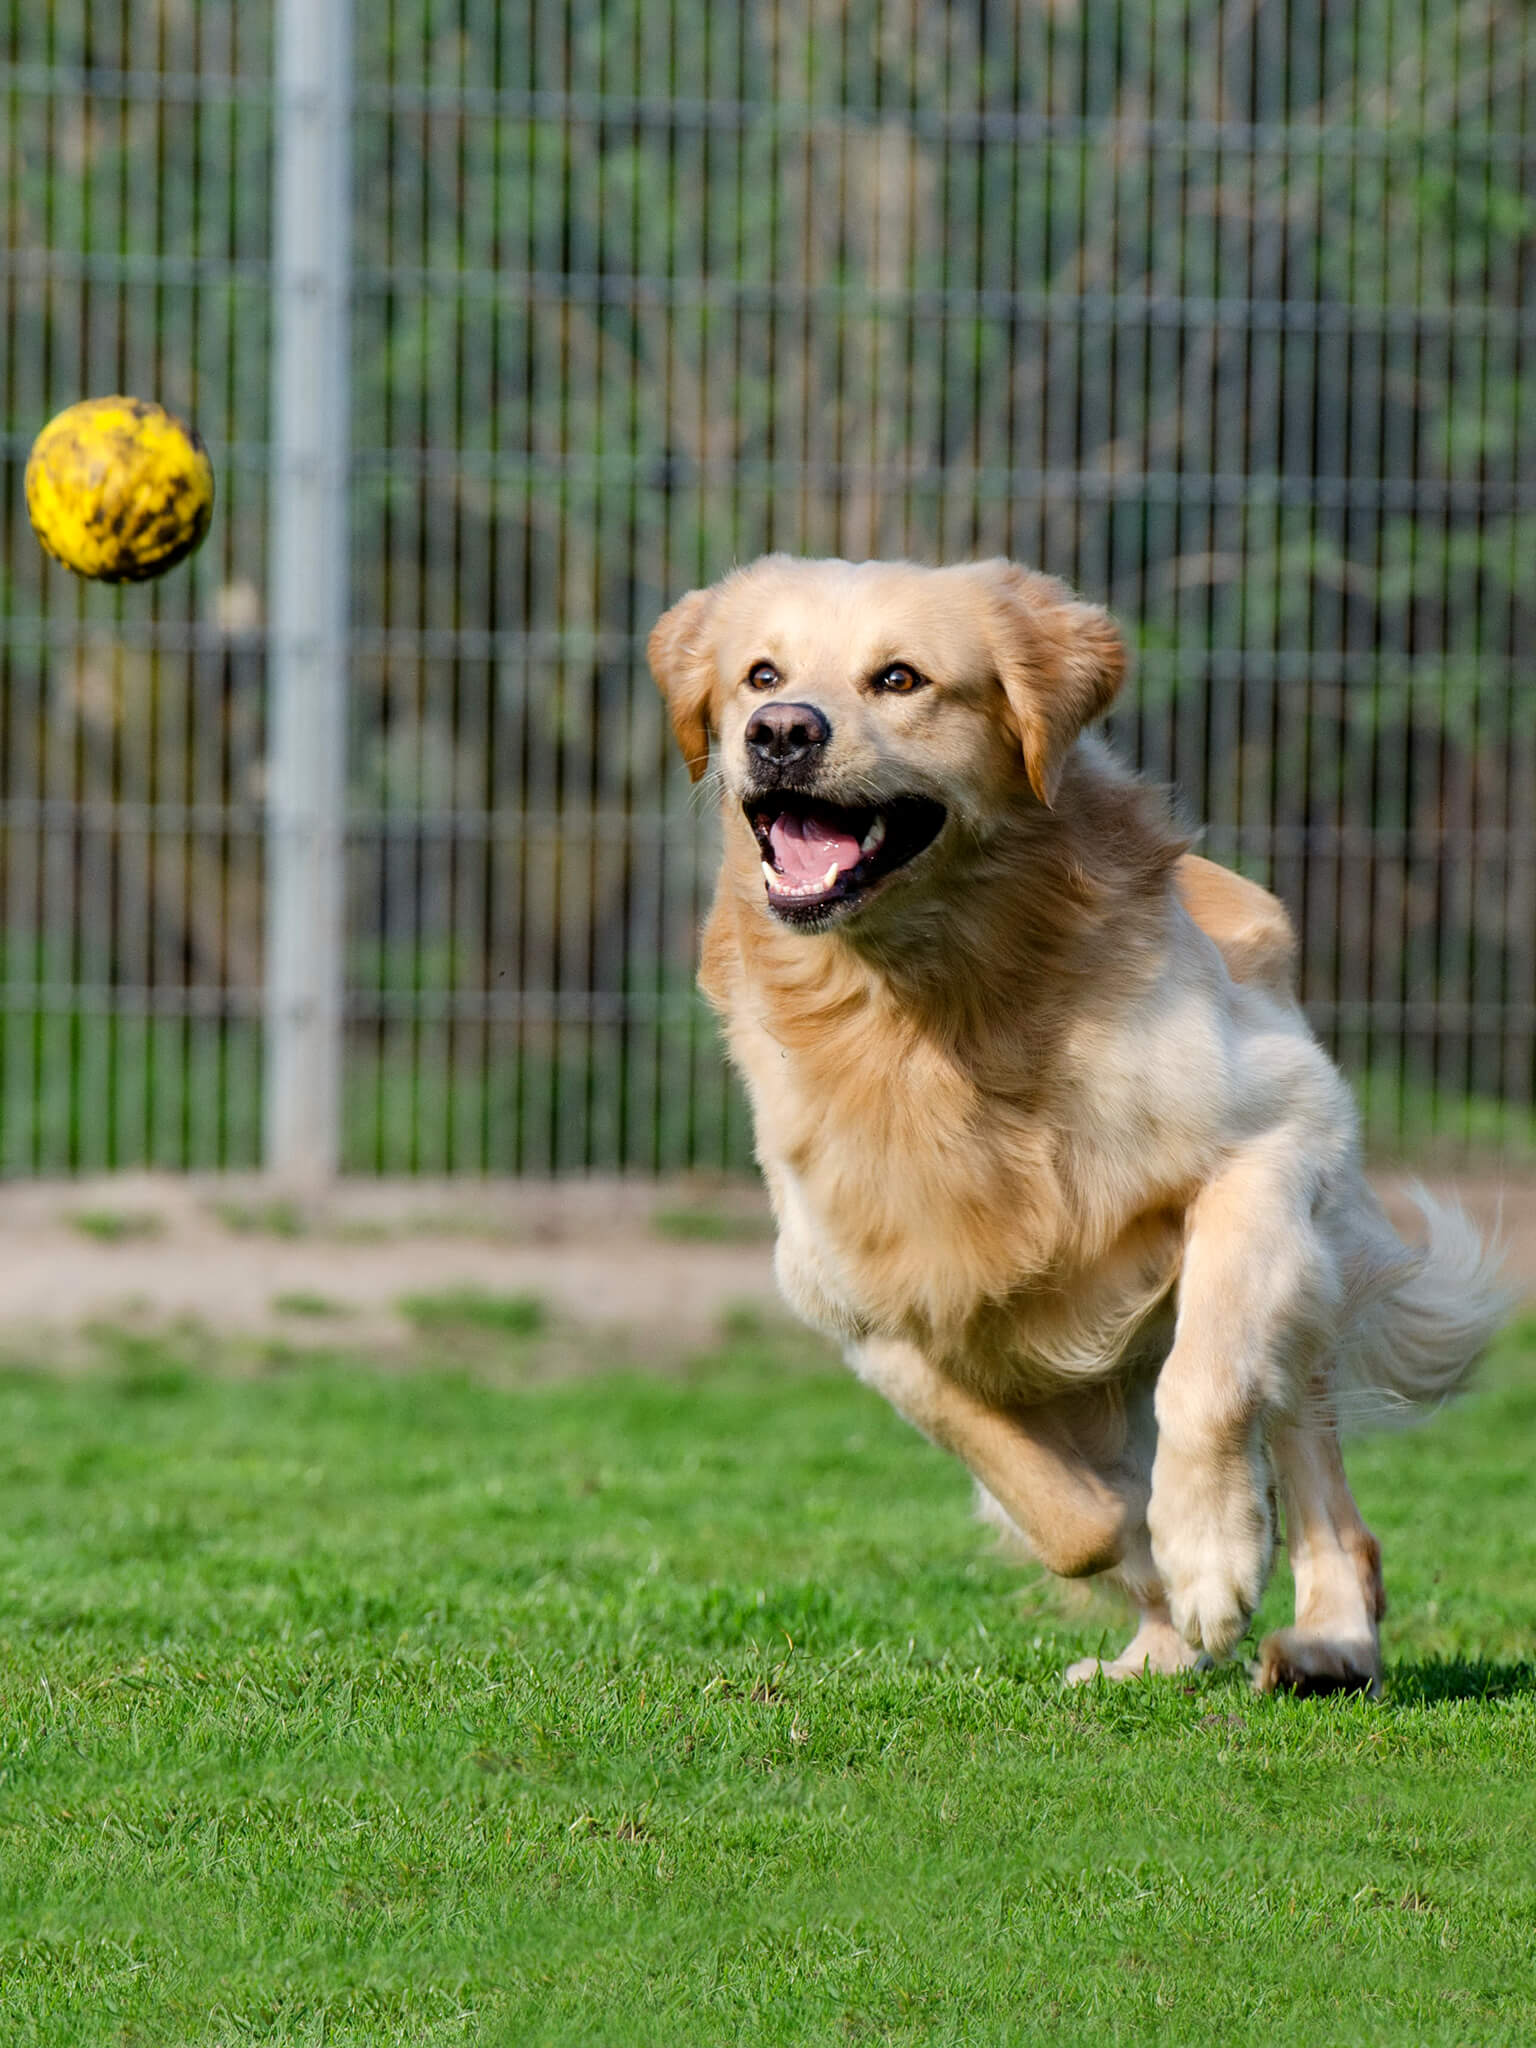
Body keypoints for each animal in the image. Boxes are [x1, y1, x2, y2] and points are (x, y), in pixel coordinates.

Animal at [651, 552, 1507, 1687]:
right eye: (760, 674)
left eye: (899, 678)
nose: (781, 730)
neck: (932, 1005)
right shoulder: (862, 1305)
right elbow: (1063, 1509)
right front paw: (1162, 1561)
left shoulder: (1275, 1138)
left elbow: (1207, 1380)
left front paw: (1212, 1548)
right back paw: (1155, 1648)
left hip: (1305, 1265)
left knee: (1310, 1460)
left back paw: (1327, 1633)